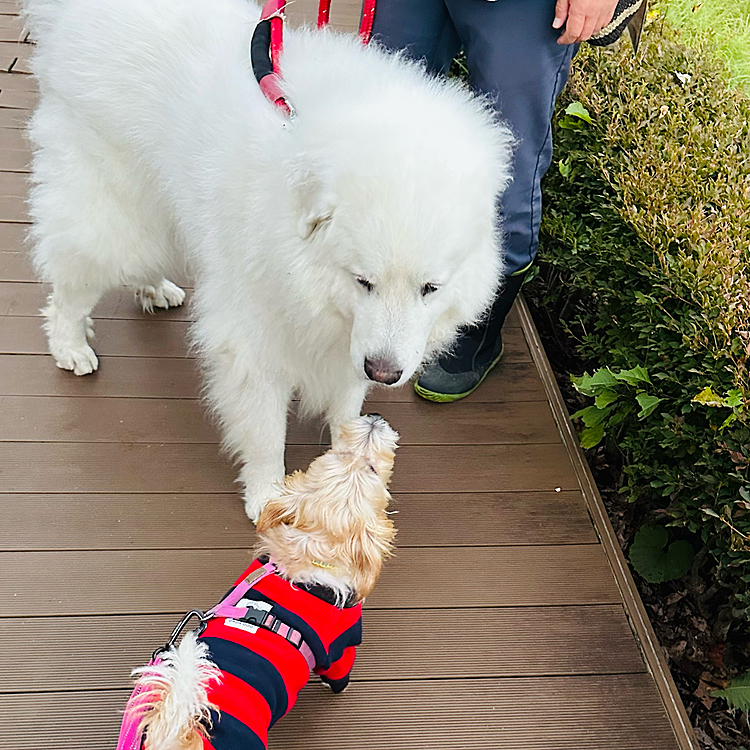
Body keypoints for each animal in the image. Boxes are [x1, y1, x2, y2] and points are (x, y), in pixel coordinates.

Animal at [25, 0, 516, 516]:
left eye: (430, 289)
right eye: (362, 280)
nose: (385, 373)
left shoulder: (352, 345)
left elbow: (347, 409)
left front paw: (350, 464)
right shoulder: (254, 340)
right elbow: (265, 431)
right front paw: (269, 498)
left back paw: (153, 288)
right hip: (114, 216)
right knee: (69, 291)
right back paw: (71, 347)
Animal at [116, 414, 400, 750]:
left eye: (335, 452)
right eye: (368, 467)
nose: (375, 418)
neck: (304, 556)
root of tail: (180, 738)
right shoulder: (343, 644)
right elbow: (339, 673)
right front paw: (338, 687)